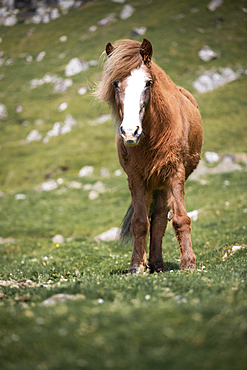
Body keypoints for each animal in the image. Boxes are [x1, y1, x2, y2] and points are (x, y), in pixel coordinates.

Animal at [94, 39, 203, 274]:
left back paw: (159, 263)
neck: (155, 133)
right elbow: (140, 222)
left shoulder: (175, 173)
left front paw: (189, 263)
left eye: (148, 83)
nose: (130, 132)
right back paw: (155, 263)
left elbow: (181, 219)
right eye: (115, 84)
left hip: (164, 183)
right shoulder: (136, 179)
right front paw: (136, 265)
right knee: (157, 219)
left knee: (161, 219)